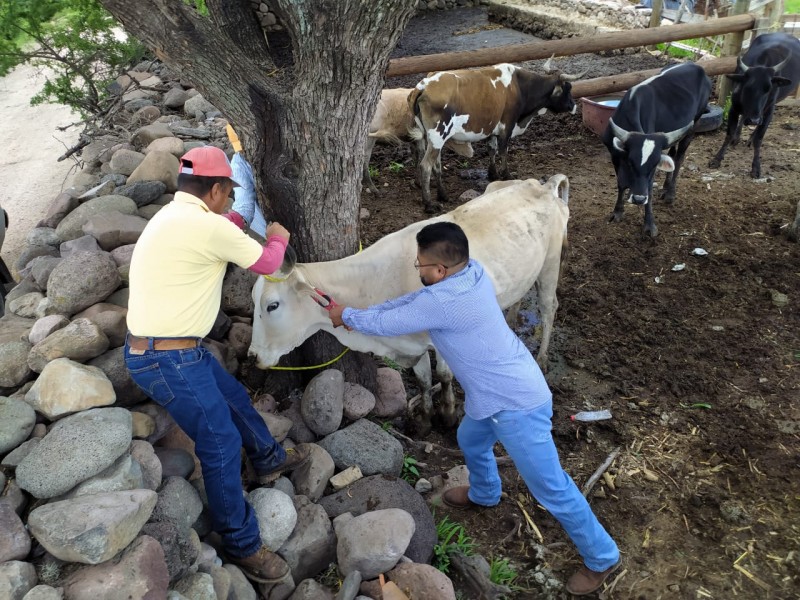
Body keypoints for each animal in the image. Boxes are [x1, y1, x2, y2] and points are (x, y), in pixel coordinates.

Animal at [250, 173, 568, 432]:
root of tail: (543, 186)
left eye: (272, 305)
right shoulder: (411, 343)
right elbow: (424, 379)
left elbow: (444, 374)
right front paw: (425, 419)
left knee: (549, 308)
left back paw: (542, 359)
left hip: (551, 264)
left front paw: (448, 415)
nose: (253, 356)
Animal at [410, 60, 584, 213]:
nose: (573, 105)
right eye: (568, 88)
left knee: (436, 165)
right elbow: (503, 151)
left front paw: (492, 174)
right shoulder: (507, 125)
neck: (519, 86)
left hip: (432, 138)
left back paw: (443, 195)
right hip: (438, 134)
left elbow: (491, 149)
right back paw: (429, 204)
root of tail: (423, 86)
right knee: (426, 166)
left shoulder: (493, 129)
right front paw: (506, 175)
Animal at [600, 61, 712, 239]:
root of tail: (696, 66)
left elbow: (650, 190)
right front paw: (617, 212)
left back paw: (670, 193)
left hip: (694, 124)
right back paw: (665, 187)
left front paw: (649, 224)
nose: (639, 199)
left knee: (679, 157)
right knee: (672, 153)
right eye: (631, 163)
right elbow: (621, 183)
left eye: (654, 166)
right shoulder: (615, 155)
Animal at [708, 32, 796, 178]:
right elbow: (729, 134)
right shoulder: (733, 108)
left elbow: (759, 140)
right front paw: (716, 159)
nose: (754, 120)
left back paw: (750, 138)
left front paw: (756, 168)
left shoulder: (769, 111)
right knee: (744, 117)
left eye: (768, 89)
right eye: (747, 88)